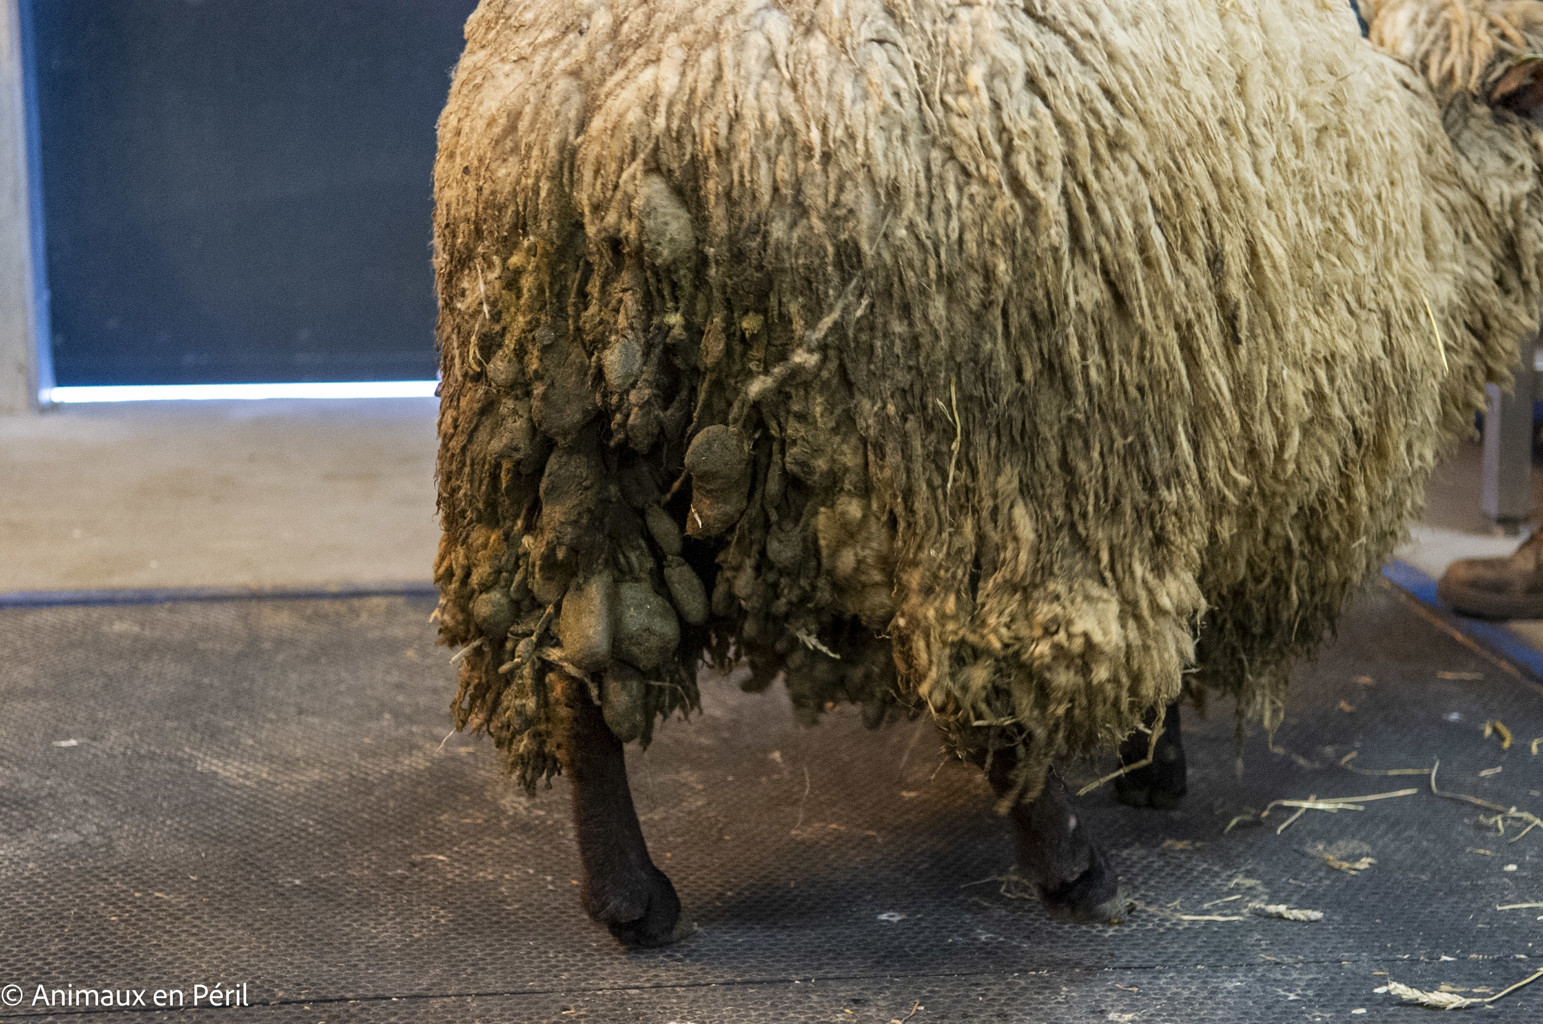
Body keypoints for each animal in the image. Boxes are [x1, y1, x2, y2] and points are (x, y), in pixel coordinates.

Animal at [430, 0, 1543, 945]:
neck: (1433, 179)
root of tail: (617, 112)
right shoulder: (1166, 463)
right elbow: (1160, 650)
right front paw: (1153, 765)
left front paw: (1148, 762)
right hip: (993, 470)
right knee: (995, 690)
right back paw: (1072, 869)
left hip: (556, 450)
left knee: (579, 667)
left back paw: (629, 898)